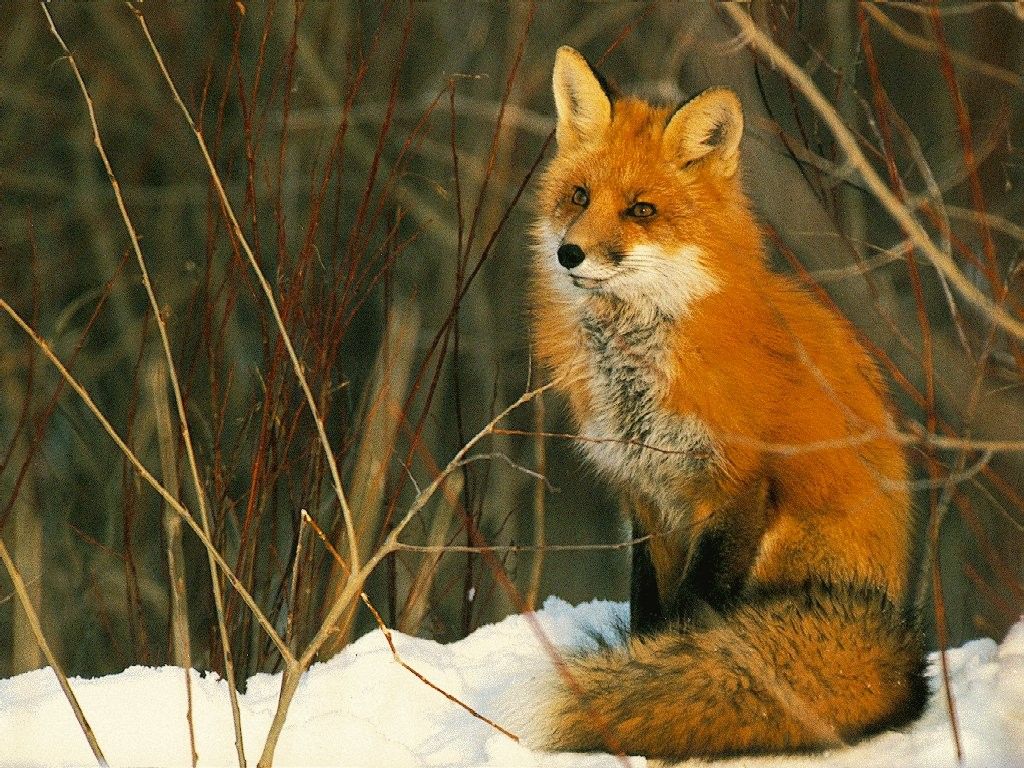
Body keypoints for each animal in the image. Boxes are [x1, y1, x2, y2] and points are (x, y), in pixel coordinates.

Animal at [527, 46, 928, 759]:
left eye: (642, 210)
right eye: (579, 197)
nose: (569, 253)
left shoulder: (736, 487)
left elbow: (691, 615)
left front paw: (659, 685)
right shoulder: (646, 496)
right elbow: (650, 613)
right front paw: (644, 669)